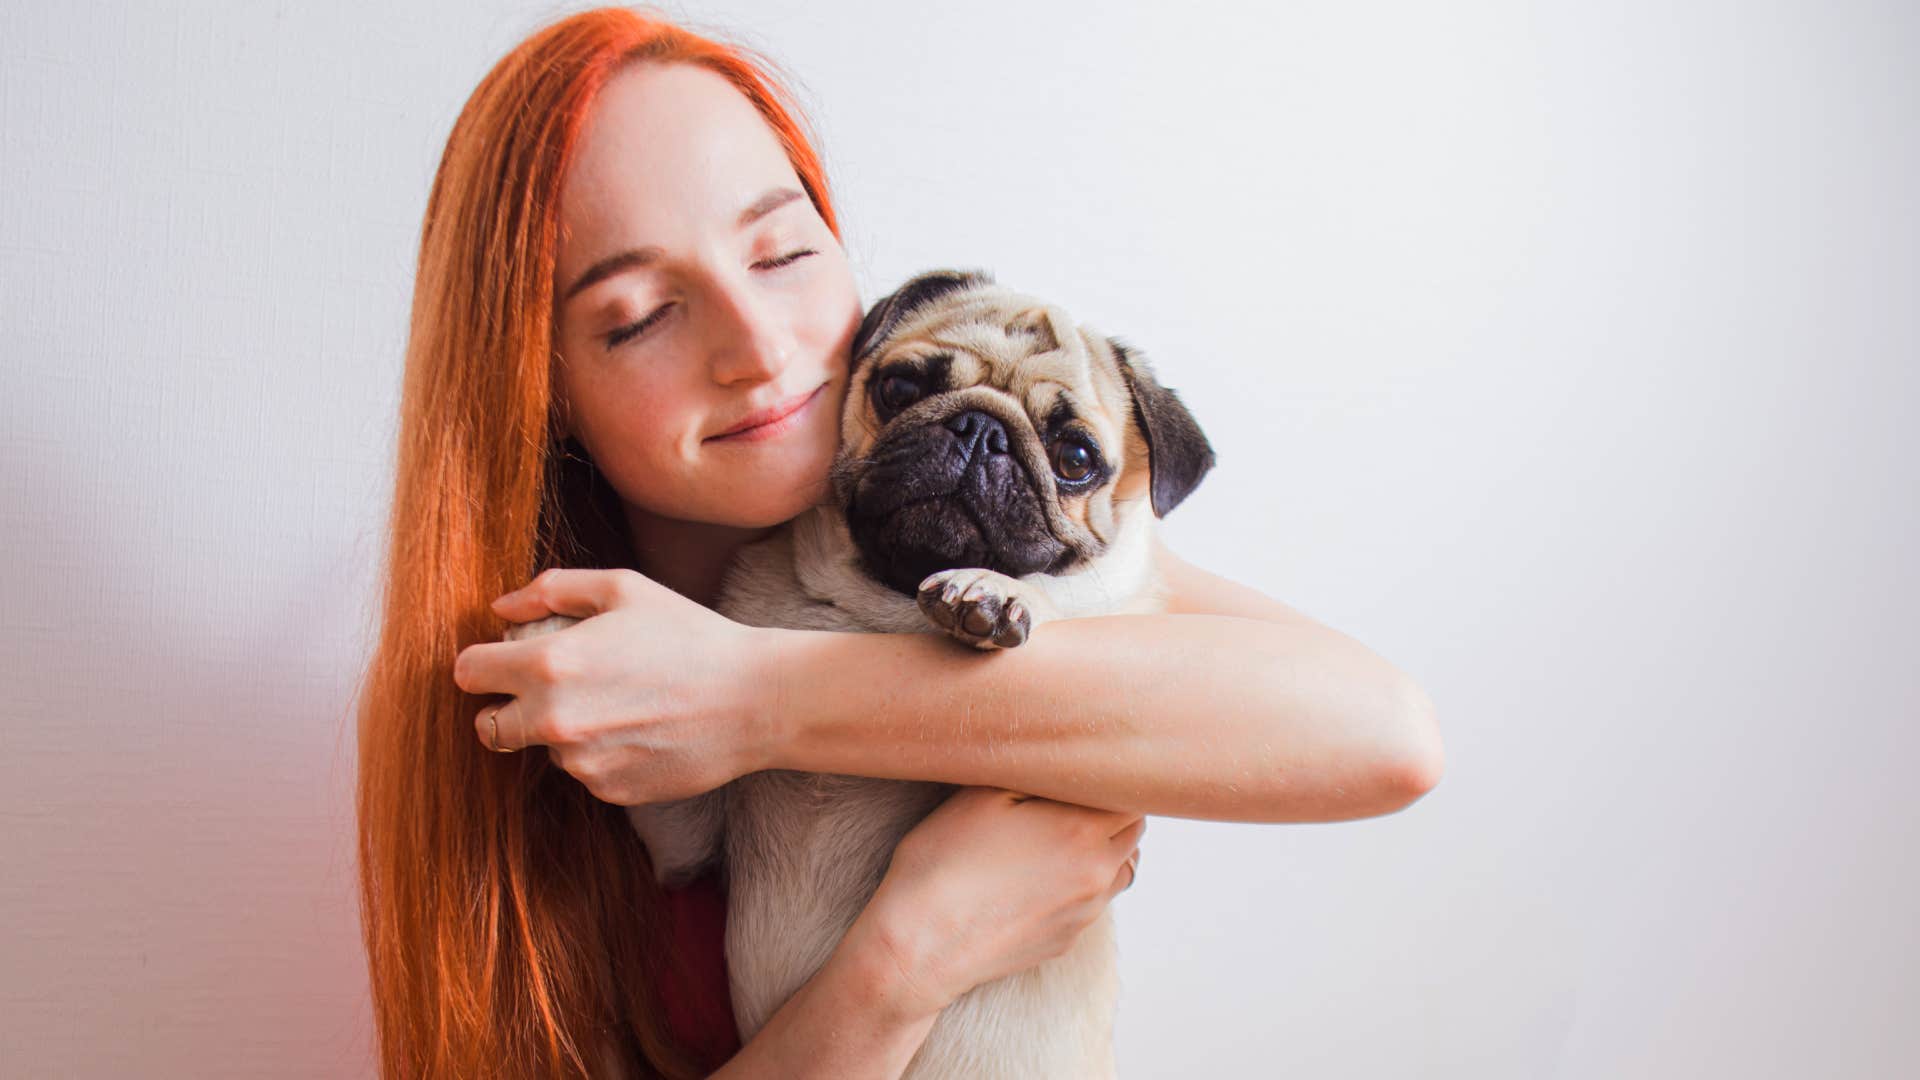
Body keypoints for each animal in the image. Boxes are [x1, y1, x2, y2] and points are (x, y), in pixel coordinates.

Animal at [510, 270, 1213, 1076]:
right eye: (900, 387)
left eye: (1075, 458)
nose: (982, 431)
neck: (872, 619)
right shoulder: (684, 840)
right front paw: (559, 632)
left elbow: (1054, 599)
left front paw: (994, 593)